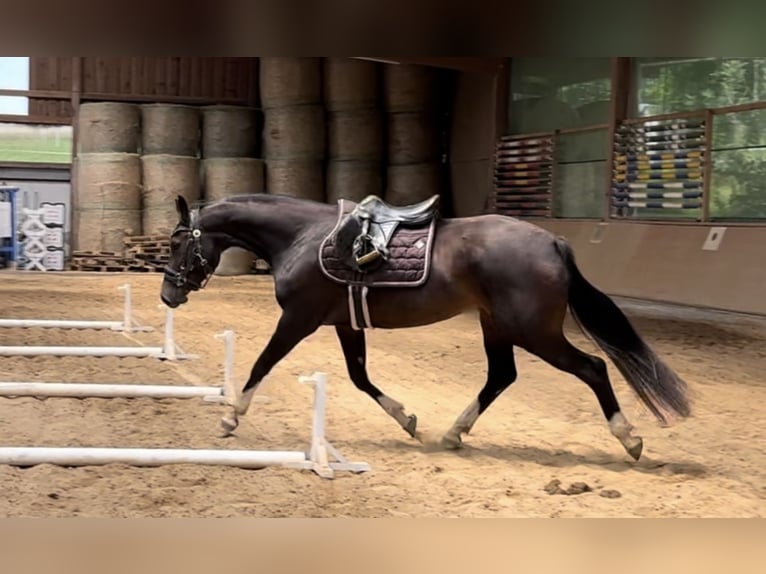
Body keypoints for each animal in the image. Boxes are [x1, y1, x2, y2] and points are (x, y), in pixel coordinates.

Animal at [160, 192, 691, 461]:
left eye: (176, 242)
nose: (168, 294)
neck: (302, 237)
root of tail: (553, 242)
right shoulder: (344, 323)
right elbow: (359, 377)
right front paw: (407, 419)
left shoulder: (299, 319)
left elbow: (262, 363)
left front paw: (231, 417)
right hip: (498, 326)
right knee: (501, 377)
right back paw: (453, 434)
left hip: (535, 332)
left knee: (593, 367)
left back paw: (630, 439)